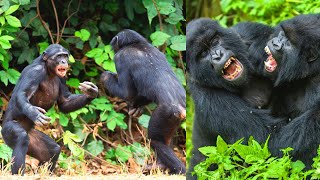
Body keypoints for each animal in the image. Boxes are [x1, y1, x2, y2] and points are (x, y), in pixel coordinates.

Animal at [1, 44, 99, 174]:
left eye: (65, 56)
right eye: (58, 56)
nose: (64, 61)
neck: (48, 70)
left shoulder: (62, 78)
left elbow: (64, 101)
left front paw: (90, 92)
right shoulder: (34, 72)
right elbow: (23, 94)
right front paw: (35, 114)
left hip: (32, 139)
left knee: (53, 149)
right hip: (7, 132)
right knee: (21, 138)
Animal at [99, 29, 185, 174]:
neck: (136, 43)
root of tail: (181, 110)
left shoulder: (120, 58)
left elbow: (126, 92)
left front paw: (105, 76)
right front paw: (136, 107)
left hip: (164, 114)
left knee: (156, 140)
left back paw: (172, 168)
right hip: (174, 120)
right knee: (166, 139)